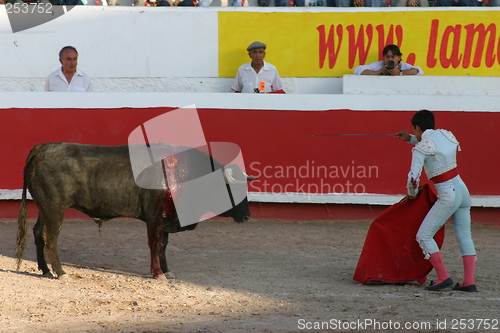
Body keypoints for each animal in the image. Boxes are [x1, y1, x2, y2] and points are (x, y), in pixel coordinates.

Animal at [15, 141, 256, 278]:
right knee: (50, 237)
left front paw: (166, 271)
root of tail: (42, 149)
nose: (246, 216)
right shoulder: (155, 217)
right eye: (234, 187)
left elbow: (163, 245)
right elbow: (155, 244)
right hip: (55, 208)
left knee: (38, 233)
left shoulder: (165, 220)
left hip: (45, 208)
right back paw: (61, 272)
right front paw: (158, 273)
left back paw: (46, 270)